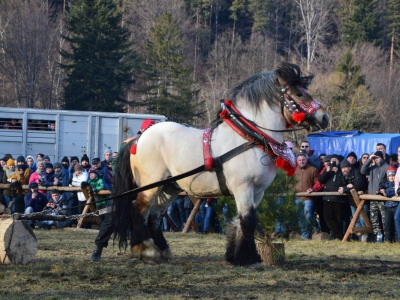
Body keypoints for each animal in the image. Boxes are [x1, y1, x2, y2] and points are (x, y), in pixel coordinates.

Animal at [111, 62, 328, 266]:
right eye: (299, 93)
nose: (324, 117)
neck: (249, 136)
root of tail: (138, 139)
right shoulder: (243, 187)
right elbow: (248, 221)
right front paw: (249, 258)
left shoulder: (258, 191)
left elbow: (240, 221)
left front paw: (235, 256)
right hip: (150, 185)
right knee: (139, 210)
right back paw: (146, 250)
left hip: (169, 187)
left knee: (155, 216)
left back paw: (162, 251)